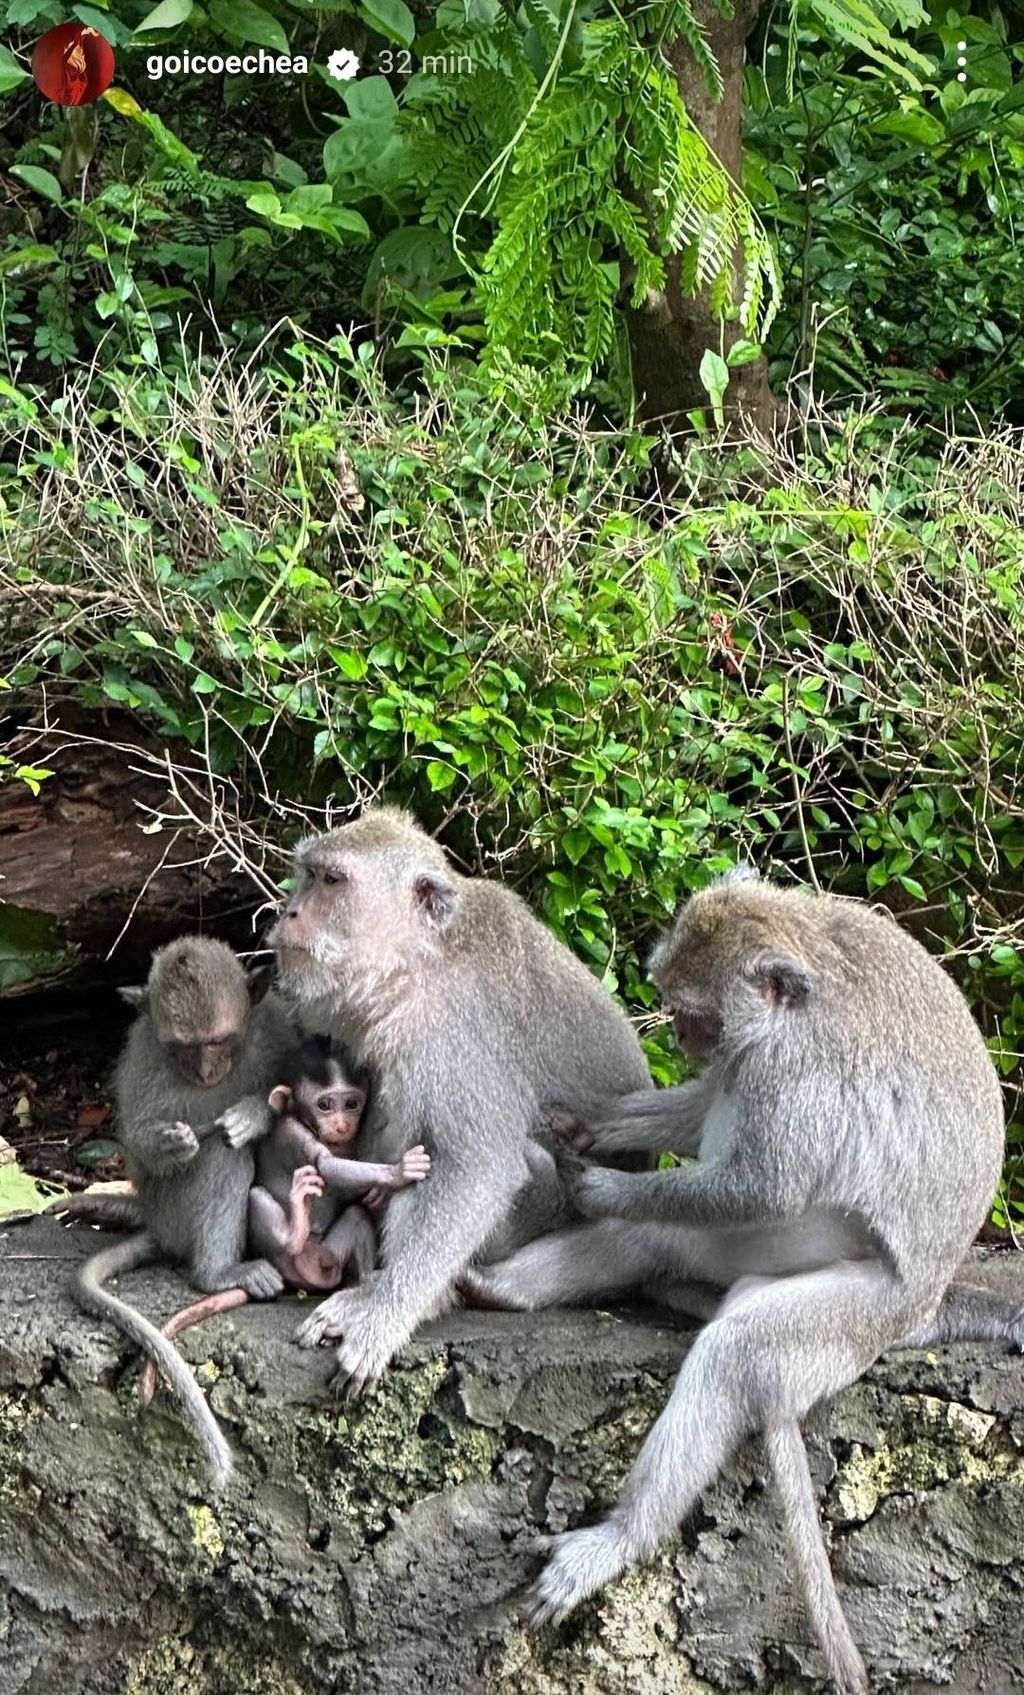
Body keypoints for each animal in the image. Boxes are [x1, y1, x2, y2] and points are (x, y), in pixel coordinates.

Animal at [74, 935, 291, 1491]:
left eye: (220, 1041)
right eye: (182, 1048)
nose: (206, 1072)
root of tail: (159, 1225)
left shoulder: (276, 1028)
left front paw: (253, 1112)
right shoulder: (142, 1056)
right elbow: (140, 1145)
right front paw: (171, 1144)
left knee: (230, 1149)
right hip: (173, 1207)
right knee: (221, 1157)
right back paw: (217, 1274)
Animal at [134, 1030, 427, 1403]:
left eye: (352, 1103)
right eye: (324, 1105)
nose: (342, 1123)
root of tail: (312, 1278)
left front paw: (380, 1186)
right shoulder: (292, 1132)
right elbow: (325, 1163)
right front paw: (398, 1172)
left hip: (327, 1256)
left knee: (356, 1217)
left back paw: (363, 1283)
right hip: (292, 1259)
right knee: (258, 1198)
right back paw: (295, 1229)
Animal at [244, 806, 651, 1403]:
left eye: (332, 881)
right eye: (309, 875)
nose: (290, 911)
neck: (417, 962)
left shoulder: (450, 1031)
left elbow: (475, 1168)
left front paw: (382, 1316)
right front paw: (253, 1111)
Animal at [467, 867, 1003, 1688]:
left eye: (695, 1014)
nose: (681, 1039)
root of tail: (926, 1307)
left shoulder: (795, 1074)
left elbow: (763, 1186)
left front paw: (598, 1183)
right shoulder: (751, 1058)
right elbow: (698, 1113)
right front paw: (586, 1126)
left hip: (859, 1309)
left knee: (735, 1351)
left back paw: (620, 1537)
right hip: (753, 1263)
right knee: (662, 1234)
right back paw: (503, 1286)